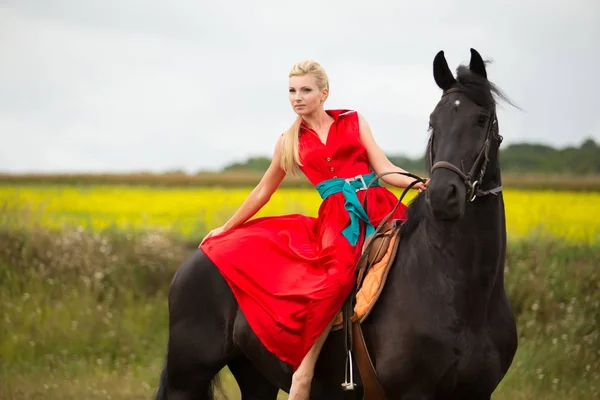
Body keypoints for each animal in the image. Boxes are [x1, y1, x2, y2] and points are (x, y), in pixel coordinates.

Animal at [157, 47, 516, 400]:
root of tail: (199, 254)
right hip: (185, 378)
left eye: (482, 119)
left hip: (255, 376)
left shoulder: (478, 393)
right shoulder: (413, 392)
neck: (461, 292)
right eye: (433, 121)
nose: (442, 195)